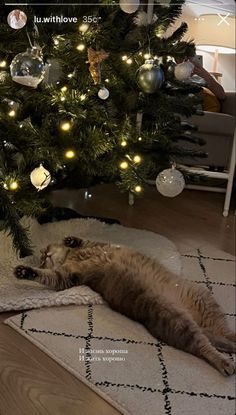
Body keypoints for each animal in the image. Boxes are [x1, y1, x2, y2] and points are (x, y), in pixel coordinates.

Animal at [13, 237, 235, 376]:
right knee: (205, 345)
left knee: (223, 335)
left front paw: (70, 240)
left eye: (43, 254)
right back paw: (225, 362)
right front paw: (25, 272)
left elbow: (83, 240)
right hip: (177, 321)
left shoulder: (98, 246)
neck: (72, 256)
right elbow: (49, 276)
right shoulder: (67, 277)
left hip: (204, 304)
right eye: (42, 260)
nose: (45, 255)